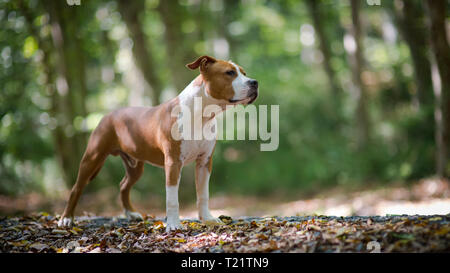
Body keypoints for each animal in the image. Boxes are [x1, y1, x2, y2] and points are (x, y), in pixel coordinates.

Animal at [58, 54, 258, 230]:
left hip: (135, 166)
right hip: (92, 157)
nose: (255, 82)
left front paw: (207, 218)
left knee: (123, 185)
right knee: (76, 188)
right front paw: (174, 225)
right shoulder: (173, 163)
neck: (201, 115)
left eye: (244, 73)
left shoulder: (204, 162)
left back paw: (131, 213)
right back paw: (66, 219)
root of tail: (108, 115)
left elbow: (203, 194)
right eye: (229, 73)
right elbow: (172, 199)